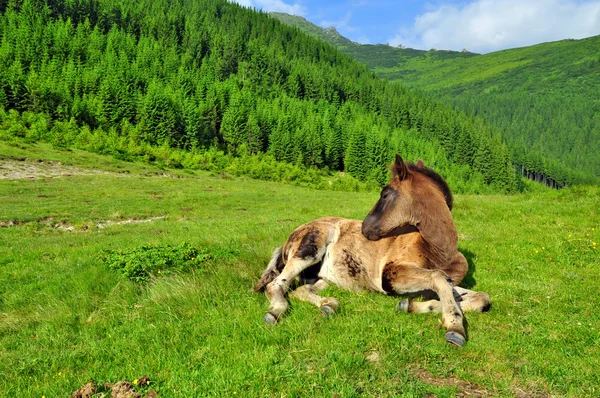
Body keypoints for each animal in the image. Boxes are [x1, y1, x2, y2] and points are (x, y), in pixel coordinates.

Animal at [252, 154, 488, 346]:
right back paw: (275, 312)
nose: (365, 228)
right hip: (310, 248)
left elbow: (481, 298)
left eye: (385, 194)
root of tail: (288, 240)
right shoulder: (391, 275)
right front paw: (455, 327)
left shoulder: (440, 284)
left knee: (300, 290)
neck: (438, 252)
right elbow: (439, 278)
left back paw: (329, 306)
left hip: (322, 277)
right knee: (275, 285)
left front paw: (409, 305)